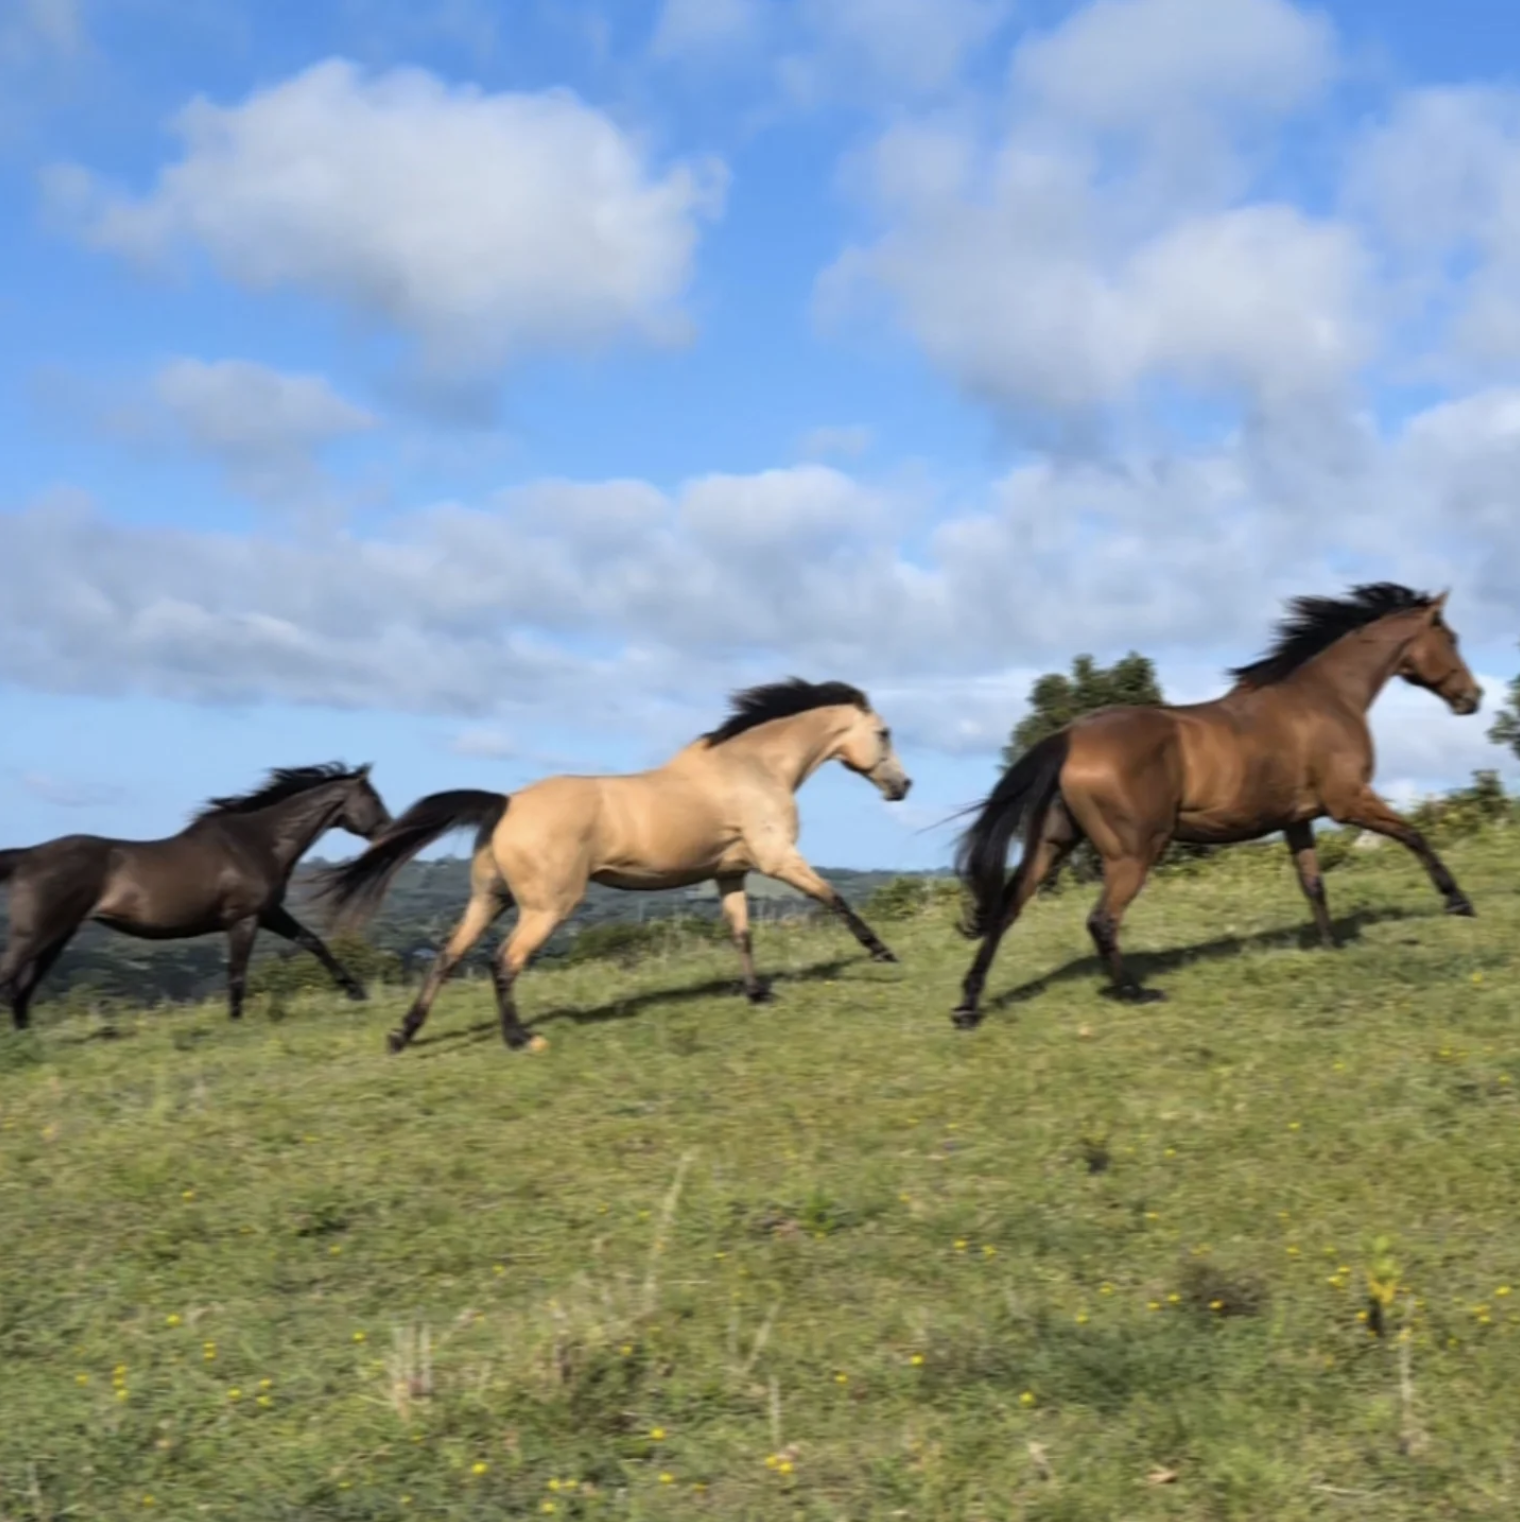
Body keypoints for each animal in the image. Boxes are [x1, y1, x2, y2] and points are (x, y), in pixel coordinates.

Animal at [0, 763, 391, 1029]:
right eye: (374, 797)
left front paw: (356, 992)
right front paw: (235, 1021)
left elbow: (313, 941)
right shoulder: (244, 918)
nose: (389, 832)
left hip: (56, 936)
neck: (257, 842)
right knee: (11, 978)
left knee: (23, 986)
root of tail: (27, 856)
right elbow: (237, 972)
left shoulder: (269, 912)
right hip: (36, 933)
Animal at [313, 678, 912, 1054]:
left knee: (447, 958)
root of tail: (505, 803)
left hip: (490, 898)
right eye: (884, 733)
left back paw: (402, 1036)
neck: (750, 768)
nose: (903, 787)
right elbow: (832, 897)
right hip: (547, 907)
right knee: (503, 963)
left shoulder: (730, 874)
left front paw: (758, 994)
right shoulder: (778, 858)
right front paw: (883, 953)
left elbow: (741, 933)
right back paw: (519, 1039)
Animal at [950, 584, 1484, 1026]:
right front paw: (1459, 902)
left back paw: (968, 1007)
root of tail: (1070, 737)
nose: (1472, 698)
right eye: (1452, 637)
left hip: (1053, 843)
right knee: (1101, 920)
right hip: (1133, 852)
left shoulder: (1298, 821)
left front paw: (1331, 946)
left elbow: (1313, 883)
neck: (1325, 699)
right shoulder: (1348, 801)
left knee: (1007, 911)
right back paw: (1135, 992)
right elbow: (1413, 833)